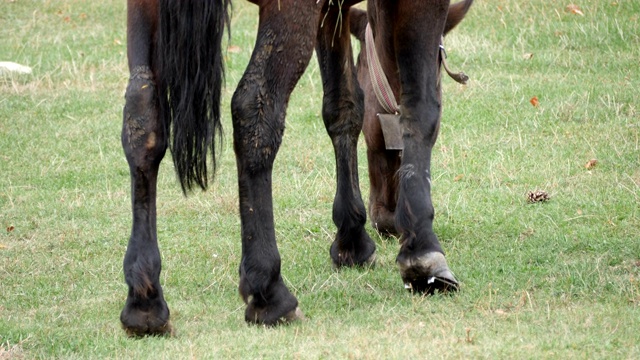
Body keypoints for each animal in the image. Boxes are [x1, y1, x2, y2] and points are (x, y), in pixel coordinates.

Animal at [119, 0, 470, 338]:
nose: (386, 217)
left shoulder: (333, 13)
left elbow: (344, 107)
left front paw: (352, 239)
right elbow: (420, 108)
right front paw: (423, 255)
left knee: (141, 119)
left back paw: (144, 300)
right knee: (254, 111)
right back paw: (269, 291)